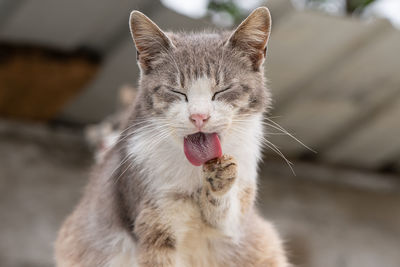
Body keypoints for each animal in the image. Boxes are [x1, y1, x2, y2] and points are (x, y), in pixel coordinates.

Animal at [55, 6, 288, 267]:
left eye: (223, 90)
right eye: (177, 91)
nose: (199, 116)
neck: (192, 171)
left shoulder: (235, 222)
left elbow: (226, 216)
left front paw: (220, 177)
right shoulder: (153, 221)